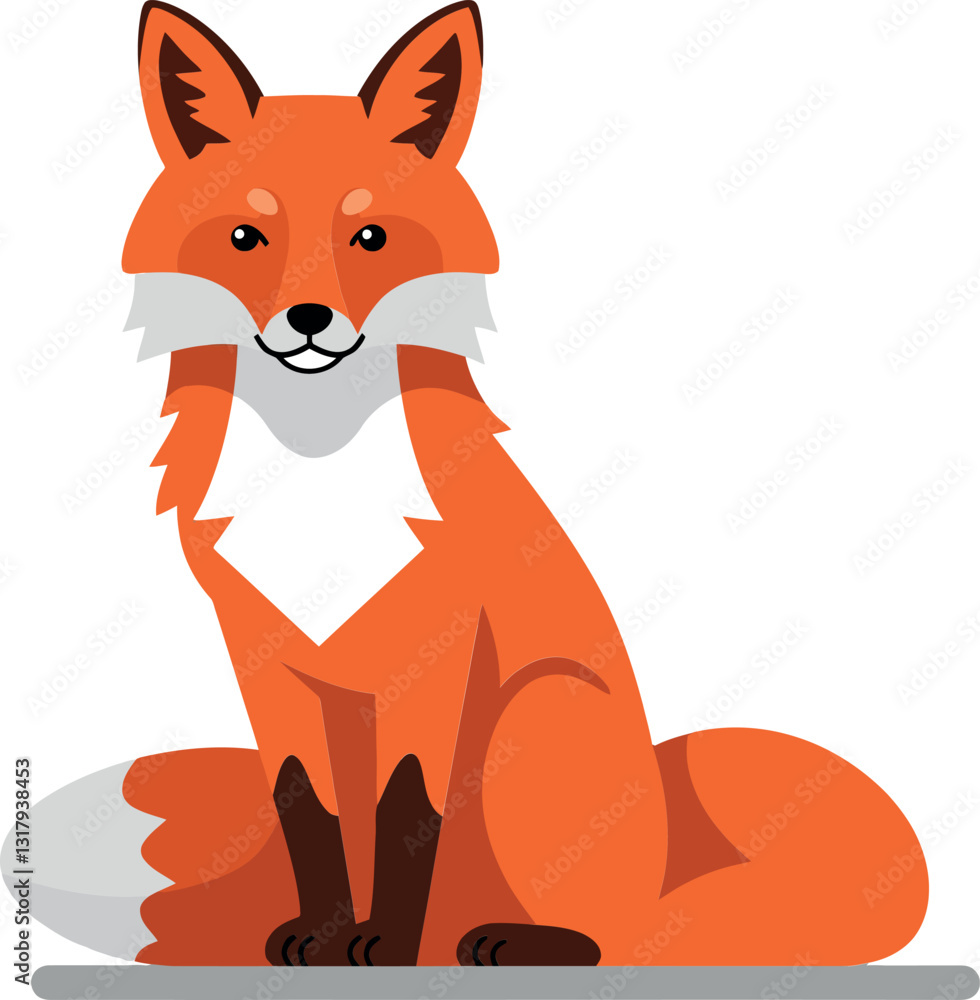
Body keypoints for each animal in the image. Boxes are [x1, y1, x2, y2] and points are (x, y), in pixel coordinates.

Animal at [3, 0, 927, 970]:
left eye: (370, 237)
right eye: (246, 238)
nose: (308, 319)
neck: (320, 469)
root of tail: (669, 865)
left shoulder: (434, 655)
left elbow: (406, 809)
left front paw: (384, 946)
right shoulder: (263, 656)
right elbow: (306, 807)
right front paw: (321, 934)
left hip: (534, 713)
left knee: (621, 940)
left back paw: (508, 940)